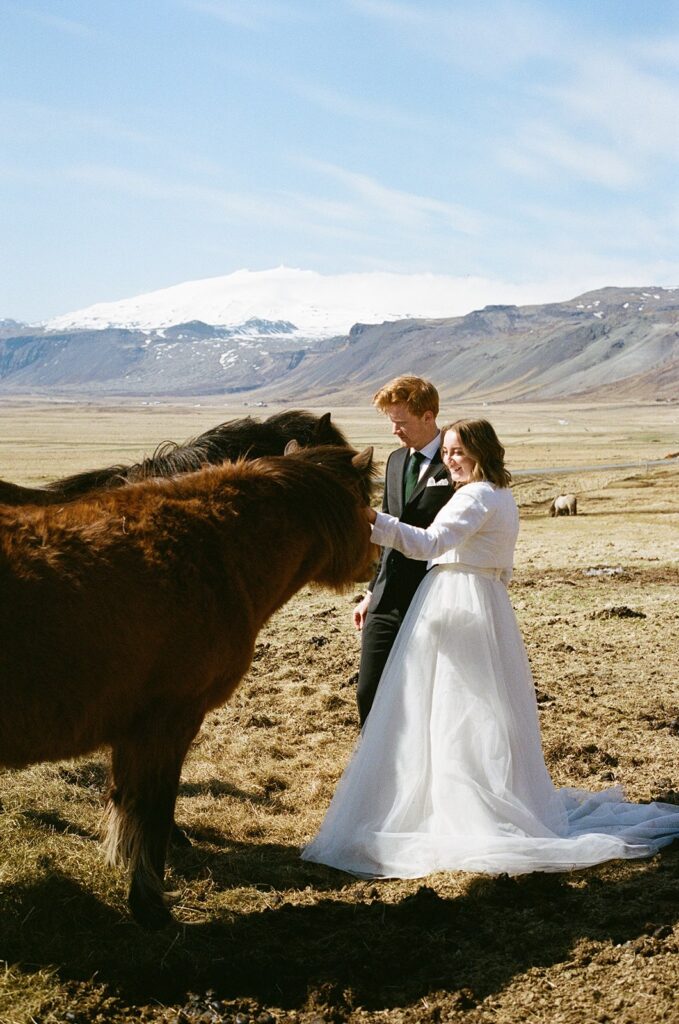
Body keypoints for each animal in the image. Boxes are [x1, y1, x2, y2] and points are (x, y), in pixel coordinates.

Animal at [0, 444, 376, 933]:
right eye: (366, 502)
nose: (378, 562)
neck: (215, 547)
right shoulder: (170, 722)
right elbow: (153, 811)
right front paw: (150, 905)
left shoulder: (134, 732)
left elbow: (126, 803)